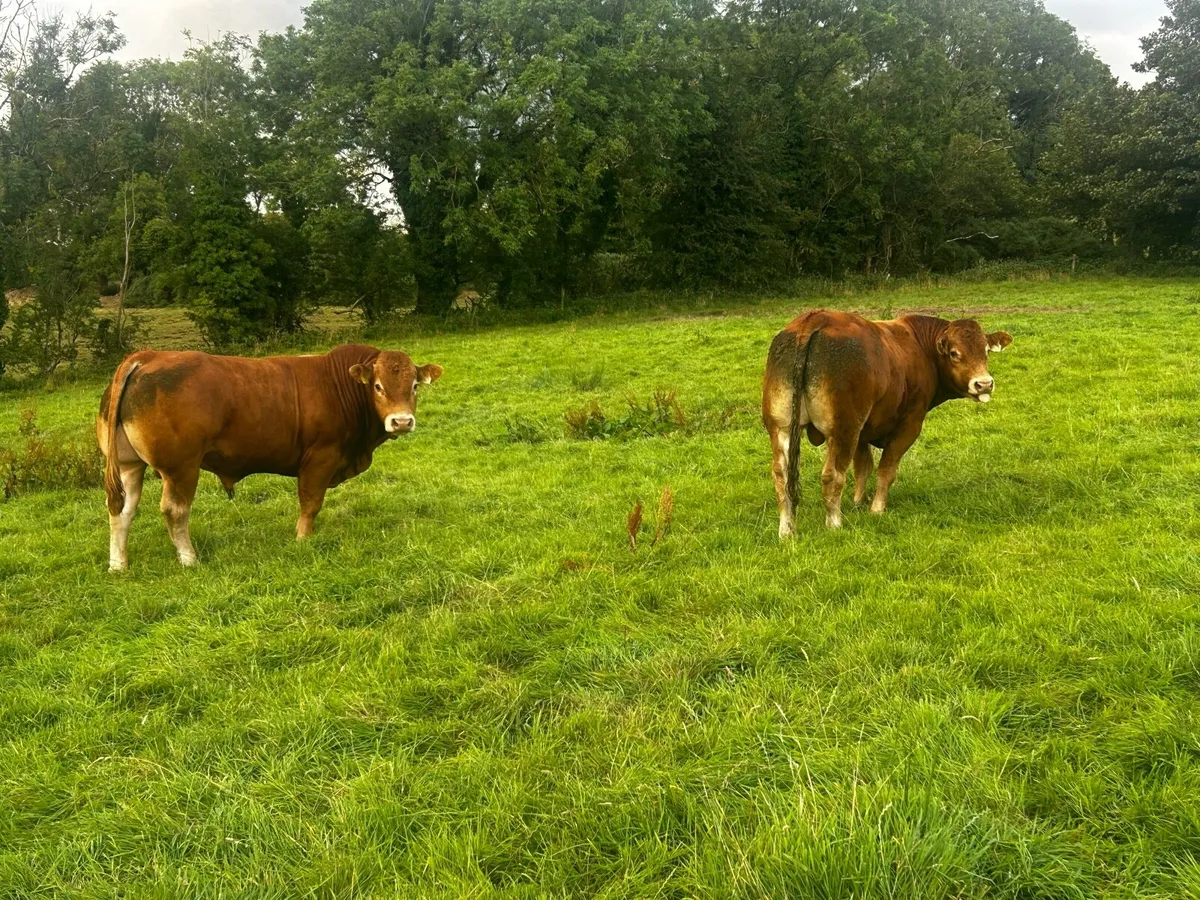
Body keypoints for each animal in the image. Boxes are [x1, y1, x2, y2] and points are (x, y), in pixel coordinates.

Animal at [96, 344, 443, 571]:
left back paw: (118, 564)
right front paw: (303, 539)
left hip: (129, 465)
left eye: (414, 385)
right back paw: (189, 559)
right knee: (175, 511)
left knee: (121, 511)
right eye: (378, 386)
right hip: (181, 468)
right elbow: (310, 502)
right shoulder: (320, 457)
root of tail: (147, 356)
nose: (401, 421)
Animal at [762, 311, 1011, 535]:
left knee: (781, 475)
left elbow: (863, 466)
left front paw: (859, 501)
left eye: (986, 351)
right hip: (843, 430)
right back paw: (834, 524)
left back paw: (787, 530)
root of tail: (814, 319)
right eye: (954, 353)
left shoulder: (862, 431)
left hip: (782, 428)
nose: (984, 384)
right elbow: (886, 468)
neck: (922, 349)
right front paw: (876, 508)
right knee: (832, 475)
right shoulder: (908, 426)